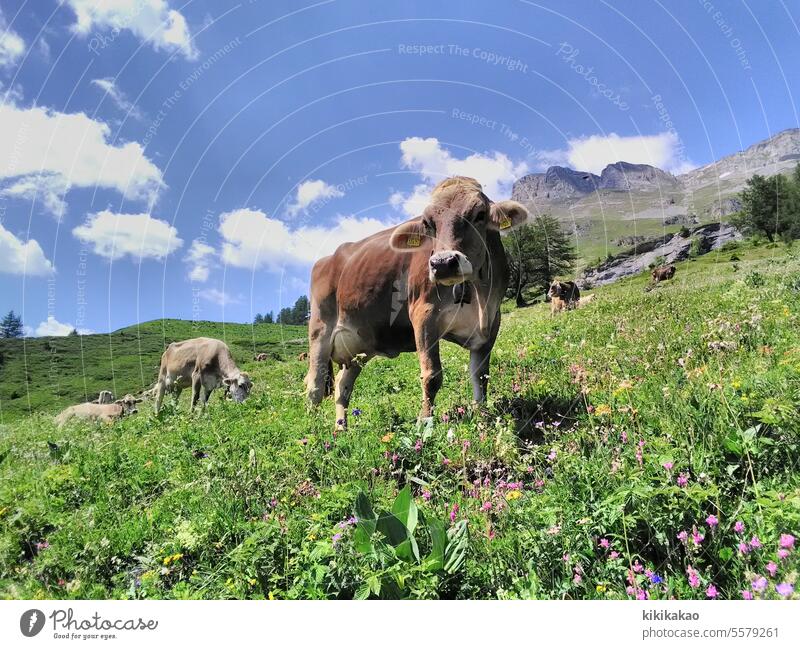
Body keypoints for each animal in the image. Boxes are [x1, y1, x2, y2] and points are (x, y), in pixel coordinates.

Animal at [306, 177, 532, 428]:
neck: (478, 296)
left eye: (480, 214)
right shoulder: (424, 315)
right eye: (427, 223)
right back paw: (313, 429)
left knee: (342, 386)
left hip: (359, 345)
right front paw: (425, 423)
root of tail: (329, 258)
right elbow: (431, 375)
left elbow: (481, 376)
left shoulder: (492, 322)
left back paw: (341, 428)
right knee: (315, 385)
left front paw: (483, 420)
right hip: (320, 330)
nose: (443, 263)